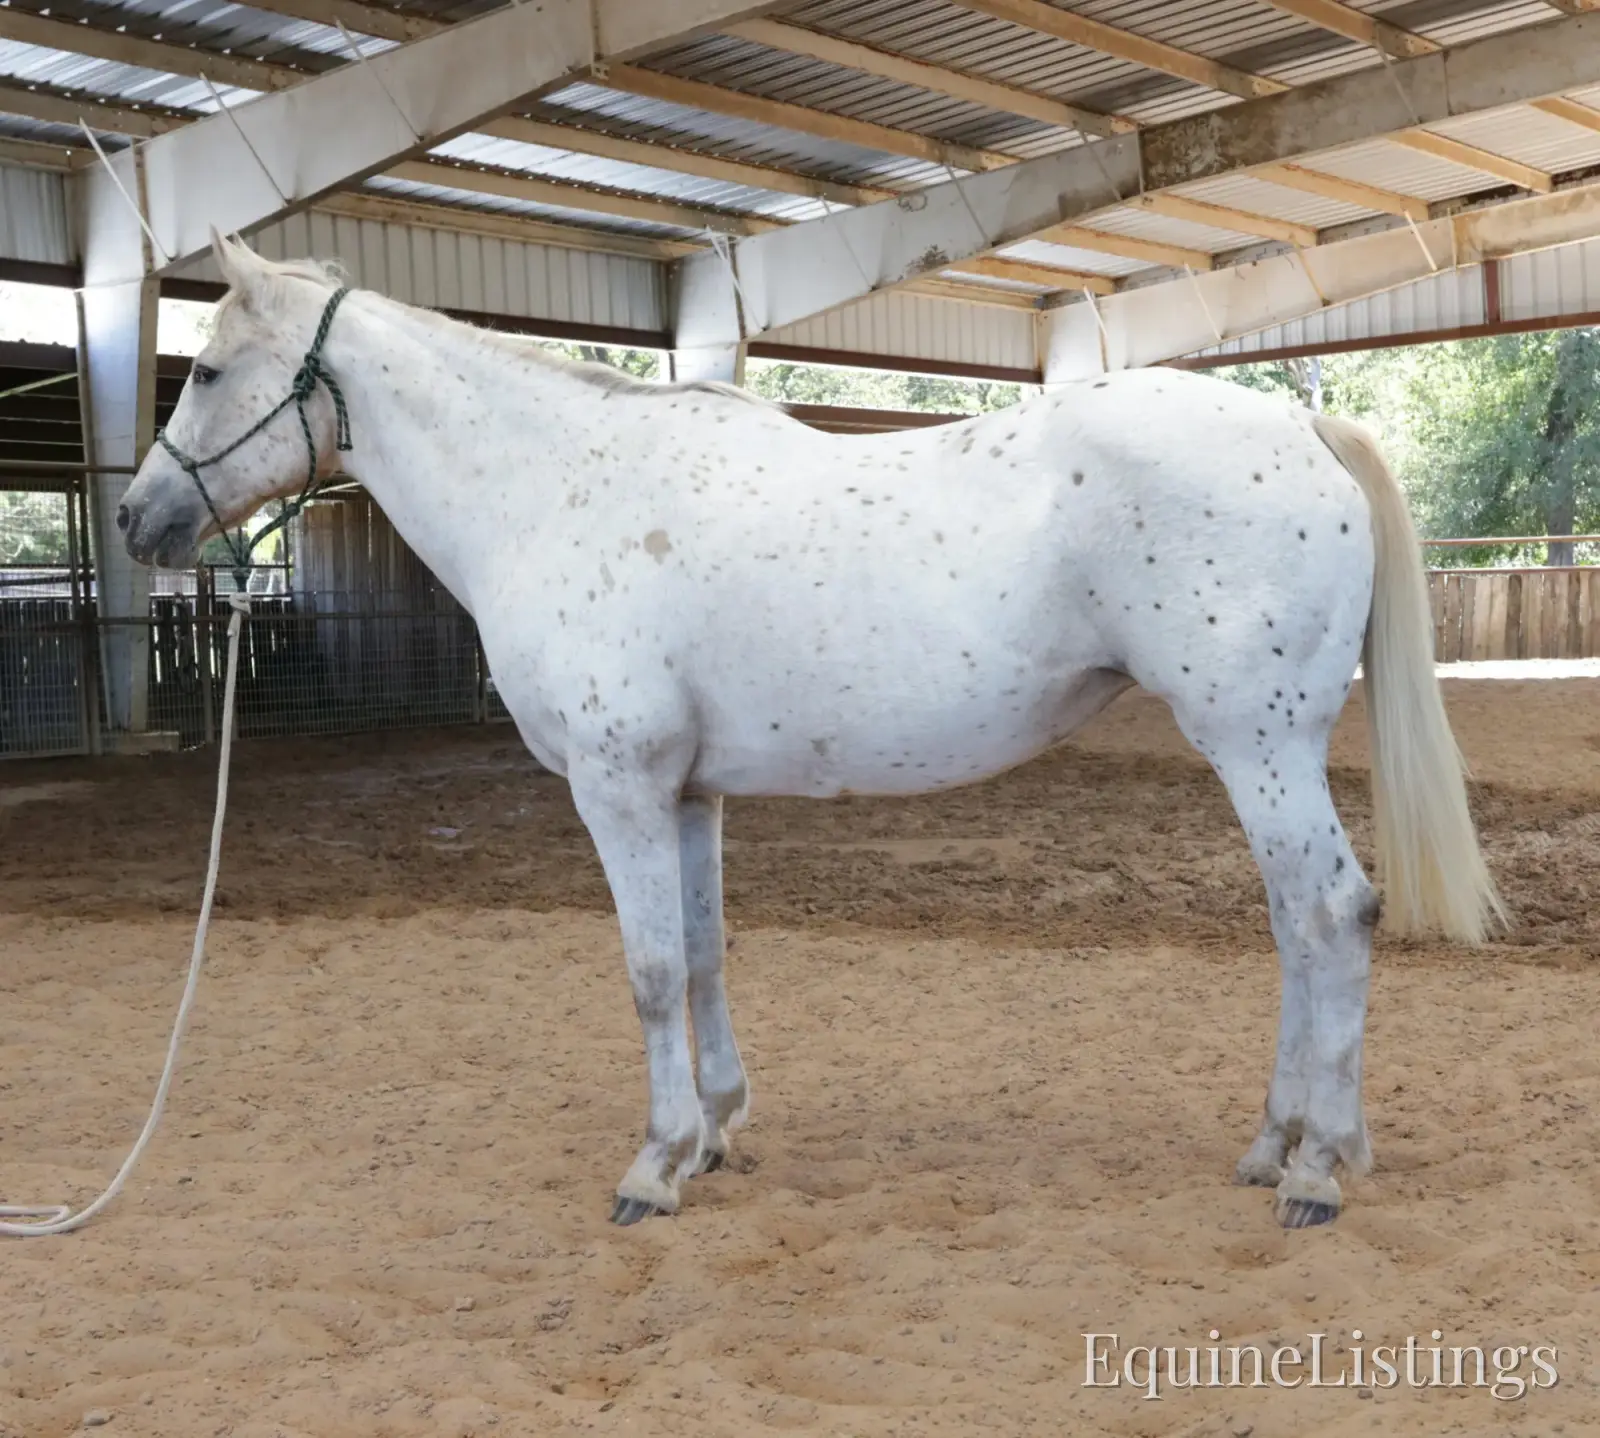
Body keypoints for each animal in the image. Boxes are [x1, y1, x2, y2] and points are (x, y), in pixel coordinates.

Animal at [118, 231, 1501, 1230]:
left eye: (203, 371)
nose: (137, 518)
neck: (554, 487)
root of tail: (1299, 424)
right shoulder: (687, 793)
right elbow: (705, 952)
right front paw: (717, 1131)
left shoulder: (618, 786)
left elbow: (649, 968)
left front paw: (654, 1163)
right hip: (1260, 755)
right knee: (1293, 926)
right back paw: (1274, 1143)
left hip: (1256, 748)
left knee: (1332, 914)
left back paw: (1316, 1169)